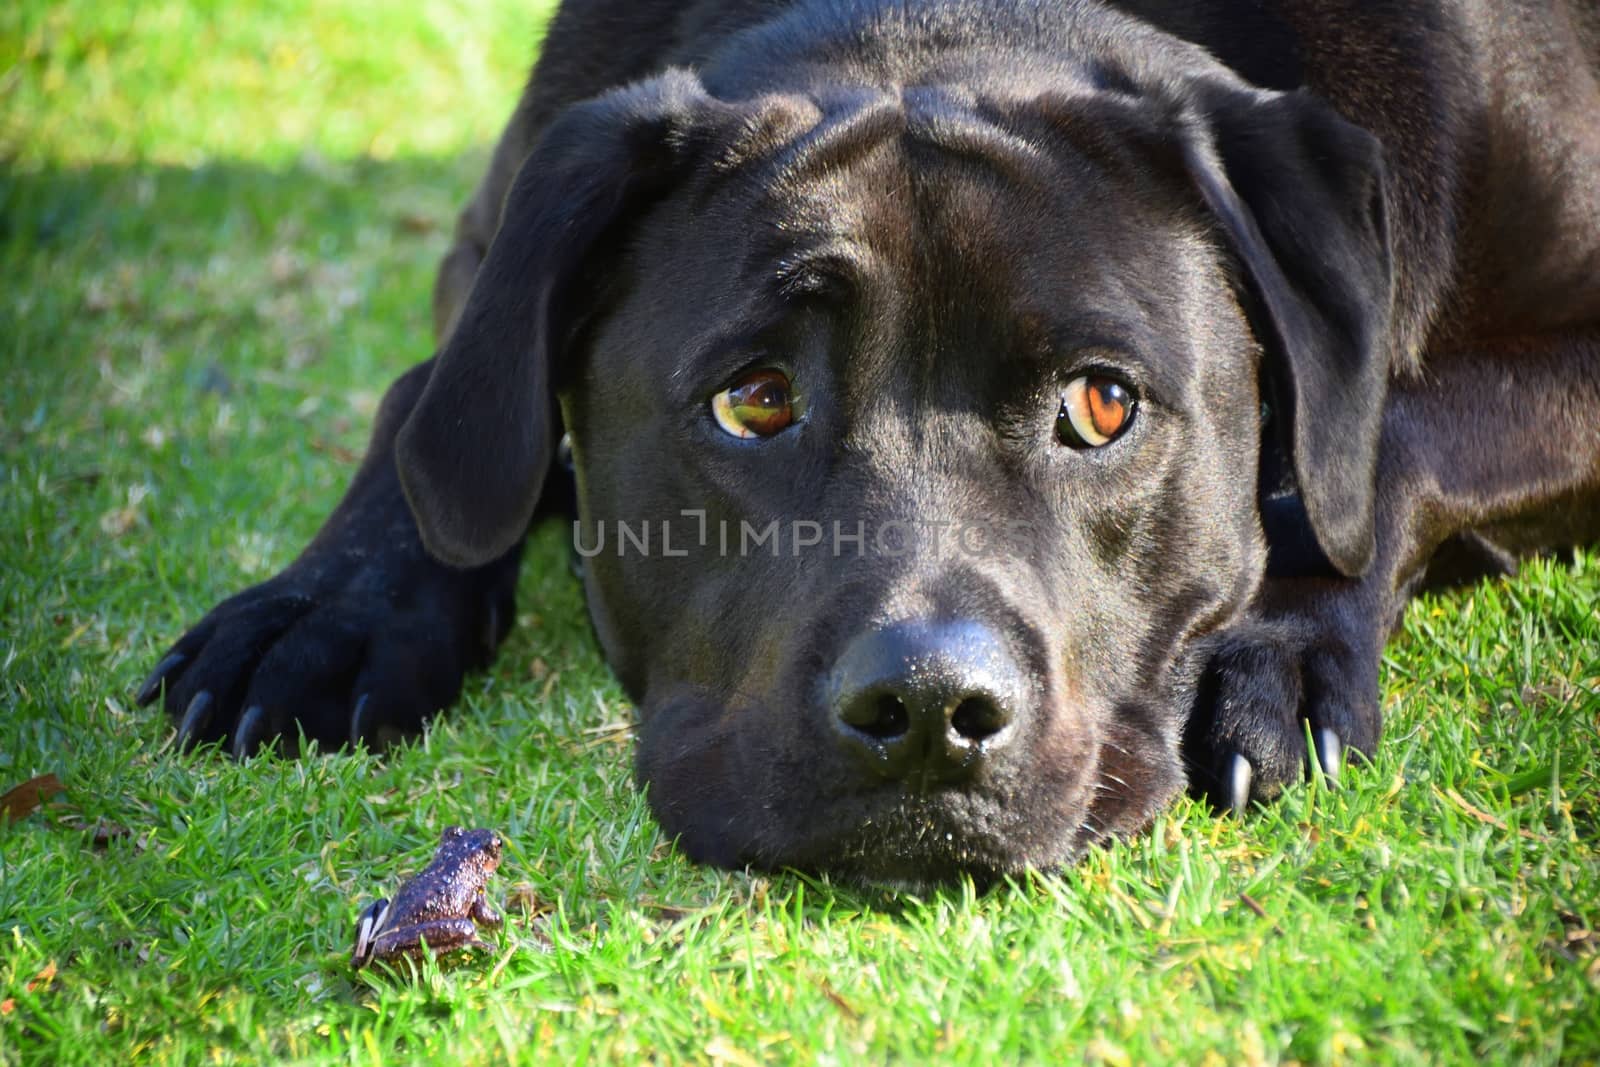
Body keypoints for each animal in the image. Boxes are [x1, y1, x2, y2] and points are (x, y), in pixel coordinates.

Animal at [140, 0, 1600, 883]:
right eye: (754, 399)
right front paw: (324, 610)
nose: (929, 715)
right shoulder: (494, 237)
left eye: (1104, 403)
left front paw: (1277, 649)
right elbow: (429, 406)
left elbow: (1386, 430)